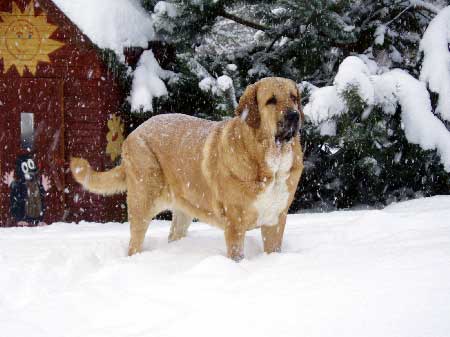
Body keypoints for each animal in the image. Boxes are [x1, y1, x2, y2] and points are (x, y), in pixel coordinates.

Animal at [71, 77, 302, 262]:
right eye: (271, 100)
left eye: (293, 97)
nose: (294, 115)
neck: (272, 163)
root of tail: (133, 133)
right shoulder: (235, 223)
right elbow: (237, 255)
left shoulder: (275, 220)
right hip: (143, 201)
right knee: (134, 244)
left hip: (183, 210)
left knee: (173, 234)